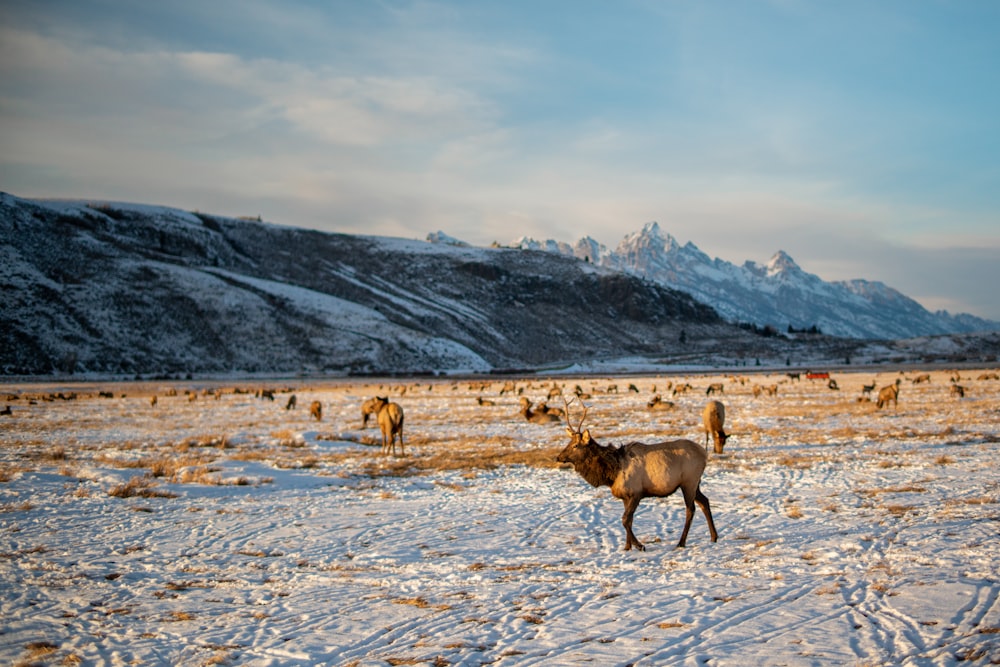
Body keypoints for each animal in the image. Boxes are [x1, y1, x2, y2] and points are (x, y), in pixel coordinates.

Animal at [556, 400, 720, 552]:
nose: (558, 457)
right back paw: (714, 536)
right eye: (568, 442)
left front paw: (639, 545)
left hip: (689, 482)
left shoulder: (636, 493)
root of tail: (704, 454)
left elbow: (625, 520)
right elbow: (629, 520)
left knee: (690, 509)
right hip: (695, 483)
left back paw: (681, 542)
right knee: (704, 502)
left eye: (575, 445)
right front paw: (627, 547)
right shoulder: (625, 496)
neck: (612, 472)